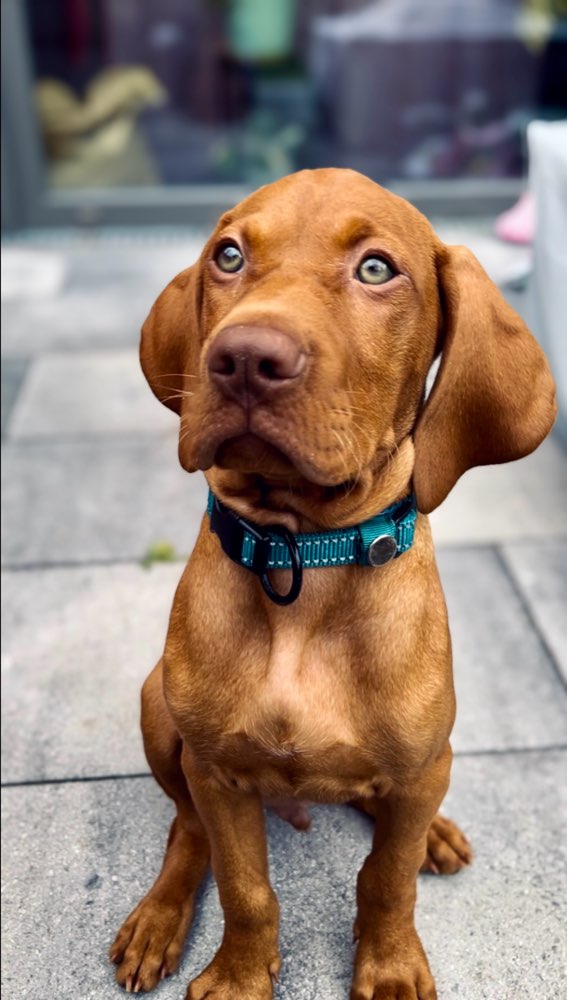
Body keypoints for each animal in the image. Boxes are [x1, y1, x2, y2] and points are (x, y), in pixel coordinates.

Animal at [108, 172, 556, 1000]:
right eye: (228, 255)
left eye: (376, 269)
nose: (245, 358)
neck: (301, 555)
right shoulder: (217, 772)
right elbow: (244, 885)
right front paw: (239, 976)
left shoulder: (418, 766)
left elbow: (385, 878)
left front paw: (390, 965)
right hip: (159, 711)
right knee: (186, 828)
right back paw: (158, 917)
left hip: (431, 756)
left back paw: (434, 834)